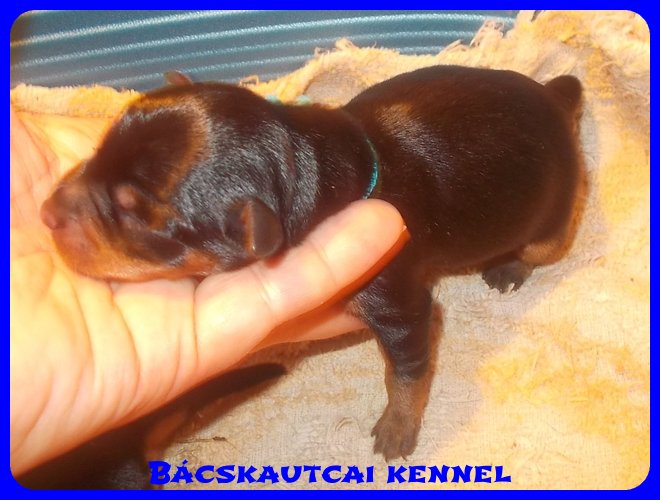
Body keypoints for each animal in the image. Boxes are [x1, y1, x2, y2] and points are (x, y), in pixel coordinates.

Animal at [40, 65, 583, 460]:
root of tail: (554, 97)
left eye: (140, 220)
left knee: (542, 248)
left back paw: (510, 268)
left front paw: (398, 428)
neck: (316, 160)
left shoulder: (397, 298)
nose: (46, 213)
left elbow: (407, 371)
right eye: (98, 150)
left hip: (553, 215)